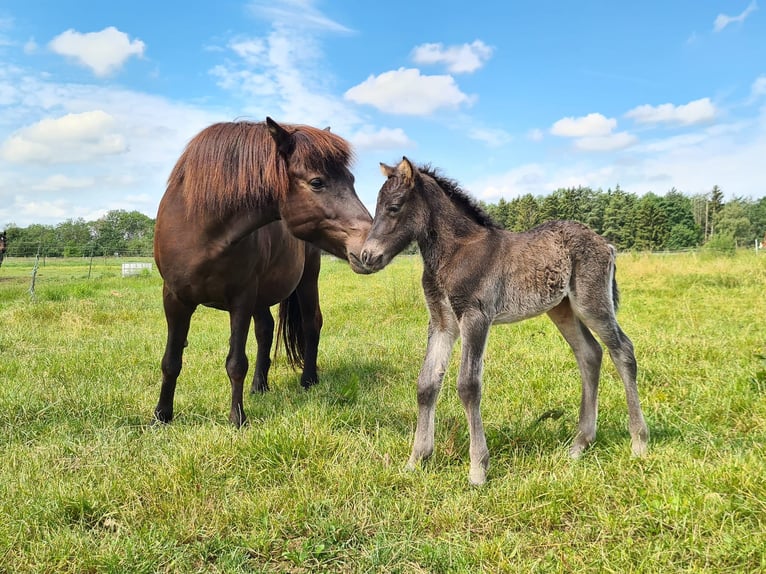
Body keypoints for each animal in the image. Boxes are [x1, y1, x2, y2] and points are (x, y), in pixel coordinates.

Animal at [154, 119, 372, 430]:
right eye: (317, 182)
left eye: (351, 180)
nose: (369, 248)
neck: (200, 228)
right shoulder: (175, 299)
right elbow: (171, 361)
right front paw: (161, 416)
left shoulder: (241, 300)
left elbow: (236, 363)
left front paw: (237, 418)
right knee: (266, 330)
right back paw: (260, 386)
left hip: (307, 280)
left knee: (311, 324)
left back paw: (308, 380)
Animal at [358, 160, 648, 488]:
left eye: (394, 207)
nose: (367, 256)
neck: (454, 253)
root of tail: (606, 244)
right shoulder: (441, 323)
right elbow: (427, 384)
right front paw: (416, 460)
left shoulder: (475, 317)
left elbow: (468, 386)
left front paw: (477, 469)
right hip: (561, 309)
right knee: (589, 354)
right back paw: (579, 444)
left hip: (591, 303)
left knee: (622, 350)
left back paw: (639, 442)